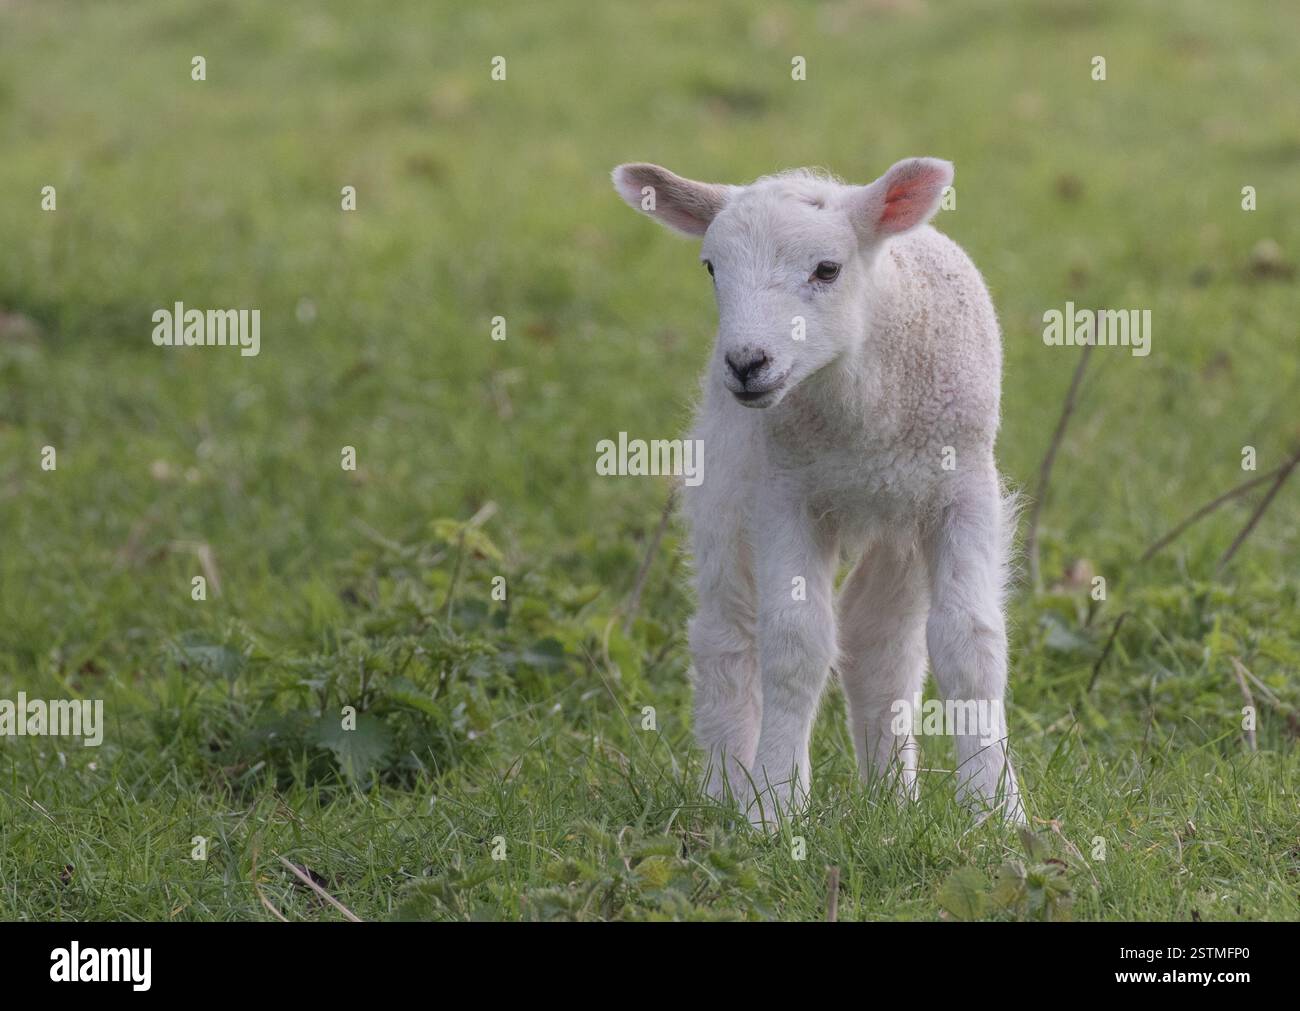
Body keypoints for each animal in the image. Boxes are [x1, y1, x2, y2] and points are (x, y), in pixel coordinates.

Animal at [612, 157, 1024, 828]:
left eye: (827, 270)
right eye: (711, 268)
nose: (747, 363)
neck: (861, 410)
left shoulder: (964, 490)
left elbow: (969, 642)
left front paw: (996, 810)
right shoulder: (785, 494)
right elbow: (794, 642)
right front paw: (775, 805)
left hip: (899, 516)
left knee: (880, 642)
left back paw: (892, 801)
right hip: (726, 485)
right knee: (728, 636)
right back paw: (724, 788)